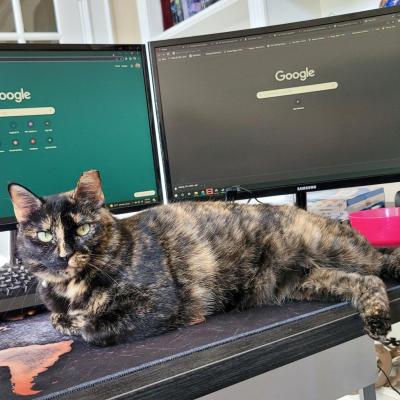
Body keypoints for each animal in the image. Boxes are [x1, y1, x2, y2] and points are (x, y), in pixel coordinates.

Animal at [7, 170, 400, 346]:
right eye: (45, 235)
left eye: (84, 228)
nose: (66, 254)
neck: (73, 287)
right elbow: (57, 320)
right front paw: (67, 318)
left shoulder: (158, 305)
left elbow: (94, 328)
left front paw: (82, 322)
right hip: (304, 281)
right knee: (367, 281)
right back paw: (377, 322)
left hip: (334, 250)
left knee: (379, 266)